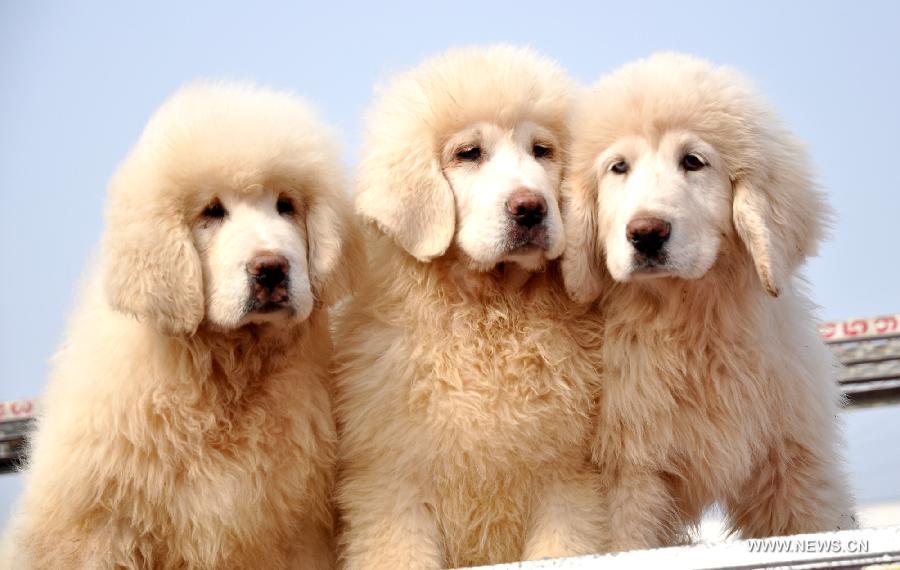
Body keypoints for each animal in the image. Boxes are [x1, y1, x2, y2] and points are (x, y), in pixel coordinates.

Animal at [7, 82, 360, 564]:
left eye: (286, 206)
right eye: (212, 212)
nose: (271, 269)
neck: (227, 373)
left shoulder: (296, 531)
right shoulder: (98, 527)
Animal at [332, 46, 604, 564]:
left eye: (542, 151)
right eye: (469, 154)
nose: (530, 207)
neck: (490, 313)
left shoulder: (569, 483)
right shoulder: (393, 488)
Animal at [564, 54, 856, 552]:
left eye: (693, 162)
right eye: (618, 168)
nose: (646, 233)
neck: (689, 321)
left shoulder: (791, 461)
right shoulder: (627, 477)